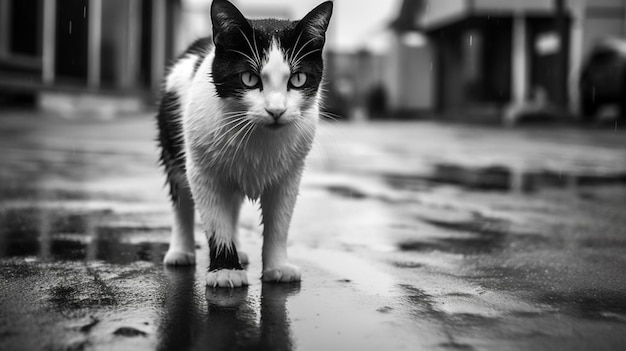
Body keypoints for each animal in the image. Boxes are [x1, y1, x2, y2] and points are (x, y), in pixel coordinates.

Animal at [155, 0, 332, 288]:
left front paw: (277, 266)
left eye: (298, 79)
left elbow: (279, 224)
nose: (276, 110)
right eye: (249, 78)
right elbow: (216, 222)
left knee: (233, 206)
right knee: (181, 201)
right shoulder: (203, 173)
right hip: (174, 145)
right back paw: (181, 251)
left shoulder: (289, 177)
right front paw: (226, 269)